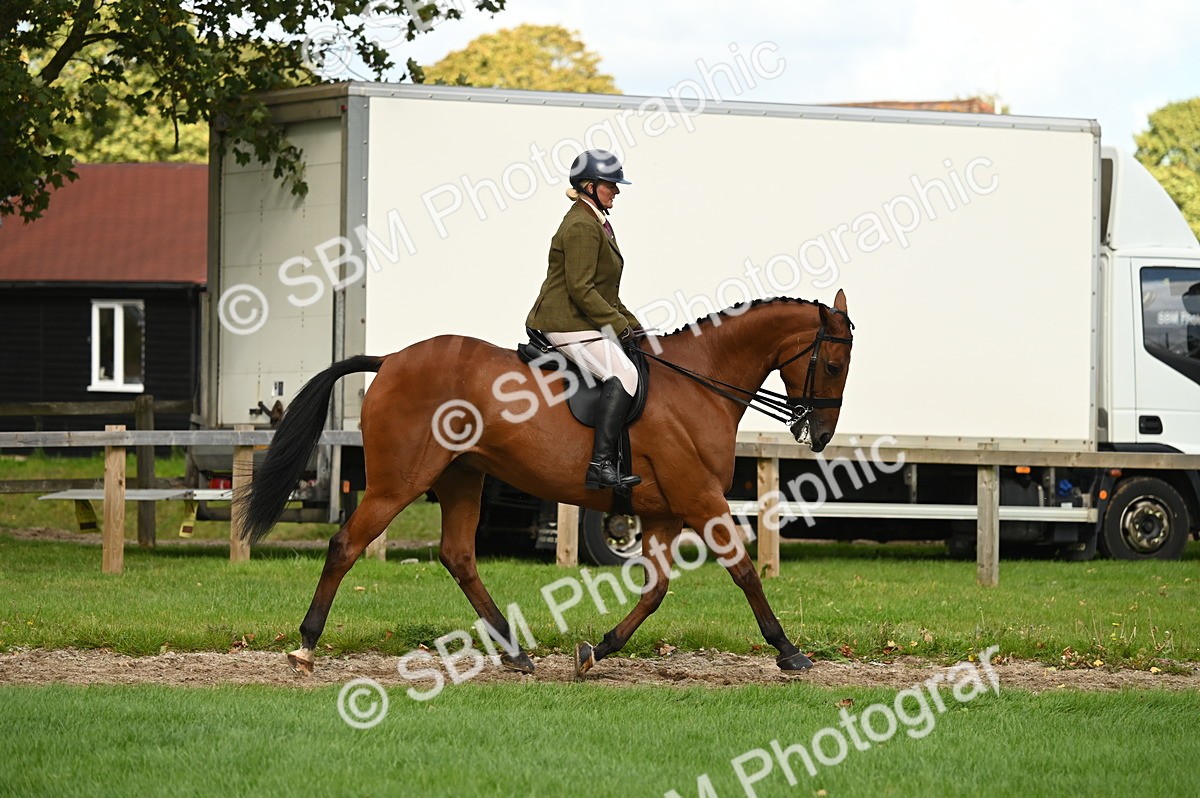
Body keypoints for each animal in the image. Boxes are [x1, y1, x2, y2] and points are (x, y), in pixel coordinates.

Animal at [241, 290, 854, 676]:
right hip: (401, 481)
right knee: (346, 545)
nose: (820, 434)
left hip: (463, 477)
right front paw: (788, 651)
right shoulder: (700, 498)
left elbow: (654, 590)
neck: (700, 382)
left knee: (458, 556)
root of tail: (390, 358)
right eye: (832, 365)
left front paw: (597, 650)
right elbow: (745, 571)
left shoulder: (662, 511)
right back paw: (306, 647)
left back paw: (515, 653)